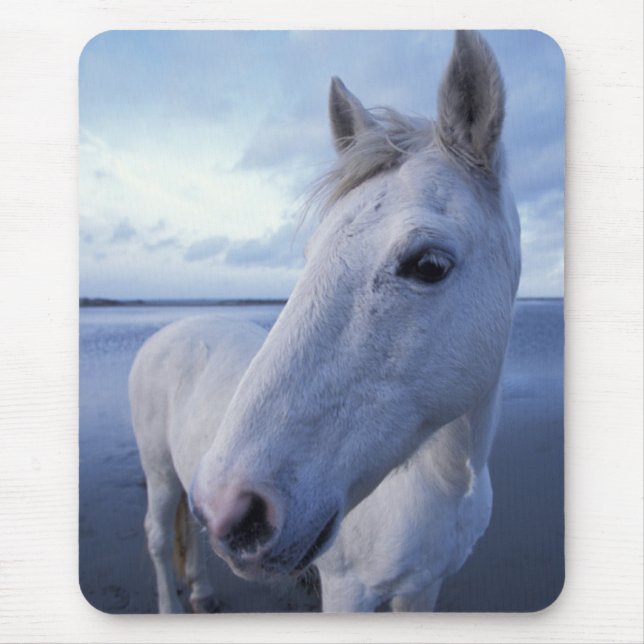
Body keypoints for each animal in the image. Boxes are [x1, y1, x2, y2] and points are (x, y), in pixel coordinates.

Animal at [129, 30, 521, 613]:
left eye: (429, 264)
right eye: (311, 253)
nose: (231, 509)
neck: (444, 481)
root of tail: (169, 331)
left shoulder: (424, 588)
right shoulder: (346, 591)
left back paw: (201, 590)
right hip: (157, 472)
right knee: (158, 539)